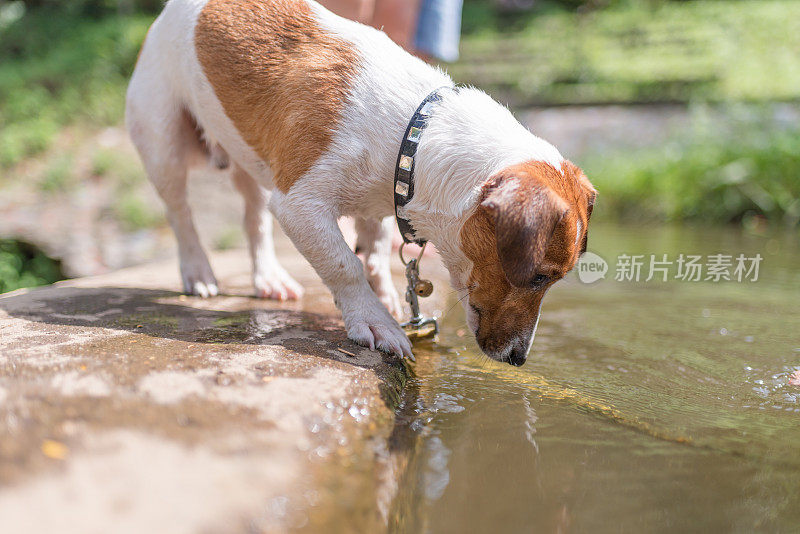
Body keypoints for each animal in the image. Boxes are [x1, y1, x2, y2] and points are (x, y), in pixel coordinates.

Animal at [125, 0, 592, 366]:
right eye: (539, 277)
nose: (519, 358)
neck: (416, 133)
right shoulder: (299, 205)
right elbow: (343, 264)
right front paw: (374, 320)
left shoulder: (382, 200)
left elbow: (376, 251)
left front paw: (385, 295)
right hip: (163, 142)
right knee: (180, 212)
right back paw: (198, 271)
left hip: (249, 158)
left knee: (254, 218)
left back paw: (269, 278)